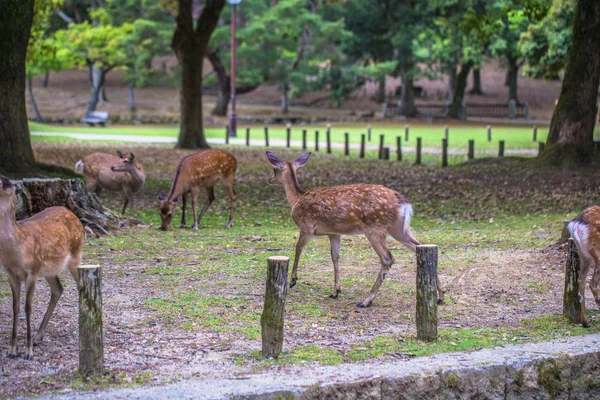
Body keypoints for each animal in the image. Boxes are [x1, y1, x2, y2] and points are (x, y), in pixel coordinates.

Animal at [0, 175, 84, 360]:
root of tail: (73, 215)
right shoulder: (10, 273)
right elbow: (15, 307)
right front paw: (12, 350)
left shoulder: (32, 270)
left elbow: (28, 307)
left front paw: (28, 352)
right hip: (49, 270)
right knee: (58, 289)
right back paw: (38, 337)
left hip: (75, 255)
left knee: (80, 286)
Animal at [264, 152, 442, 308]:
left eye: (274, 169)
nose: (270, 179)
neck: (296, 200)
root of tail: (404, 203)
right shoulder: (334, 233)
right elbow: (335, 257)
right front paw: (336, 291)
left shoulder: (307, 227)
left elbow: (298, 248)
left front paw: (293, 280)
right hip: (399, 229)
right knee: (419, 246)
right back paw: (441, 295)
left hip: (374, 228)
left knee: (388, 258)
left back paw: (366, 300)